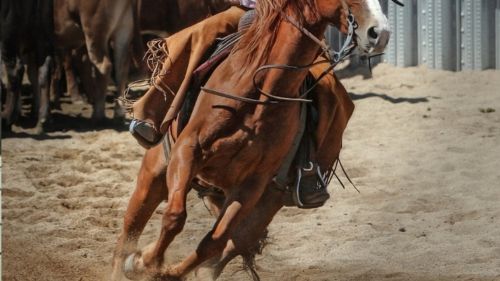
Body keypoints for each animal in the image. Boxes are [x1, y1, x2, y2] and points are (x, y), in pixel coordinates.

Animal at [113, 1, 390, 278]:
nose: (380, 33)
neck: (259, 93)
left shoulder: (252, 184)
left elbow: (214, 240)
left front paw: (152, 266)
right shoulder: (187, 151)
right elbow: (174, 217)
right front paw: (144, 262)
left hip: (266, 203)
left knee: (229, 246)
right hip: (154, 175)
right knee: (130, 229)